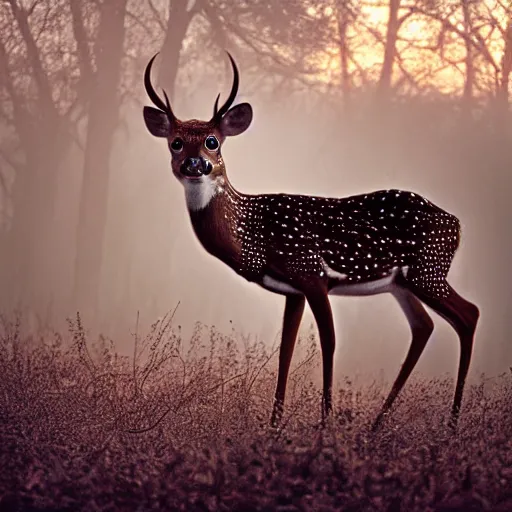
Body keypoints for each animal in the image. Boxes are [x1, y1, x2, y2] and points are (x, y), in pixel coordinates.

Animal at [143, 52, 480, 430]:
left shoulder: (311, 273)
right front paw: (274, 427)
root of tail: (456, 225)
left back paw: (451, 425)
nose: (194, 164)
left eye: (212, 141)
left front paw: (324, 426)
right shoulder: (293, 289)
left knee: (469, 314)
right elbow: (285, 350)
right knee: (424, 326)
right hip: (401, 282)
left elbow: (329, 342)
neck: (255, 234)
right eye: (175, 142)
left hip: (428, 269)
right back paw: (377, 425)